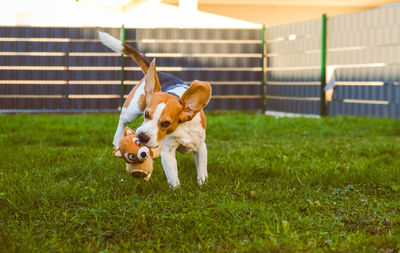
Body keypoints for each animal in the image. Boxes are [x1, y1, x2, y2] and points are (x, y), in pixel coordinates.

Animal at [99, 32, 212, 188]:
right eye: (146, 114)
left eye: (166, 123)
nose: (142, 137)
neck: (182, 127)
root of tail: (159, 74)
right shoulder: (168, 151)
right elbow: (173, 175)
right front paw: (176, 189)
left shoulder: (201, 146)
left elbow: (201, 168)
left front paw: (203, 184)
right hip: (132, 109)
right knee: (123, 120)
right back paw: (117, 138)